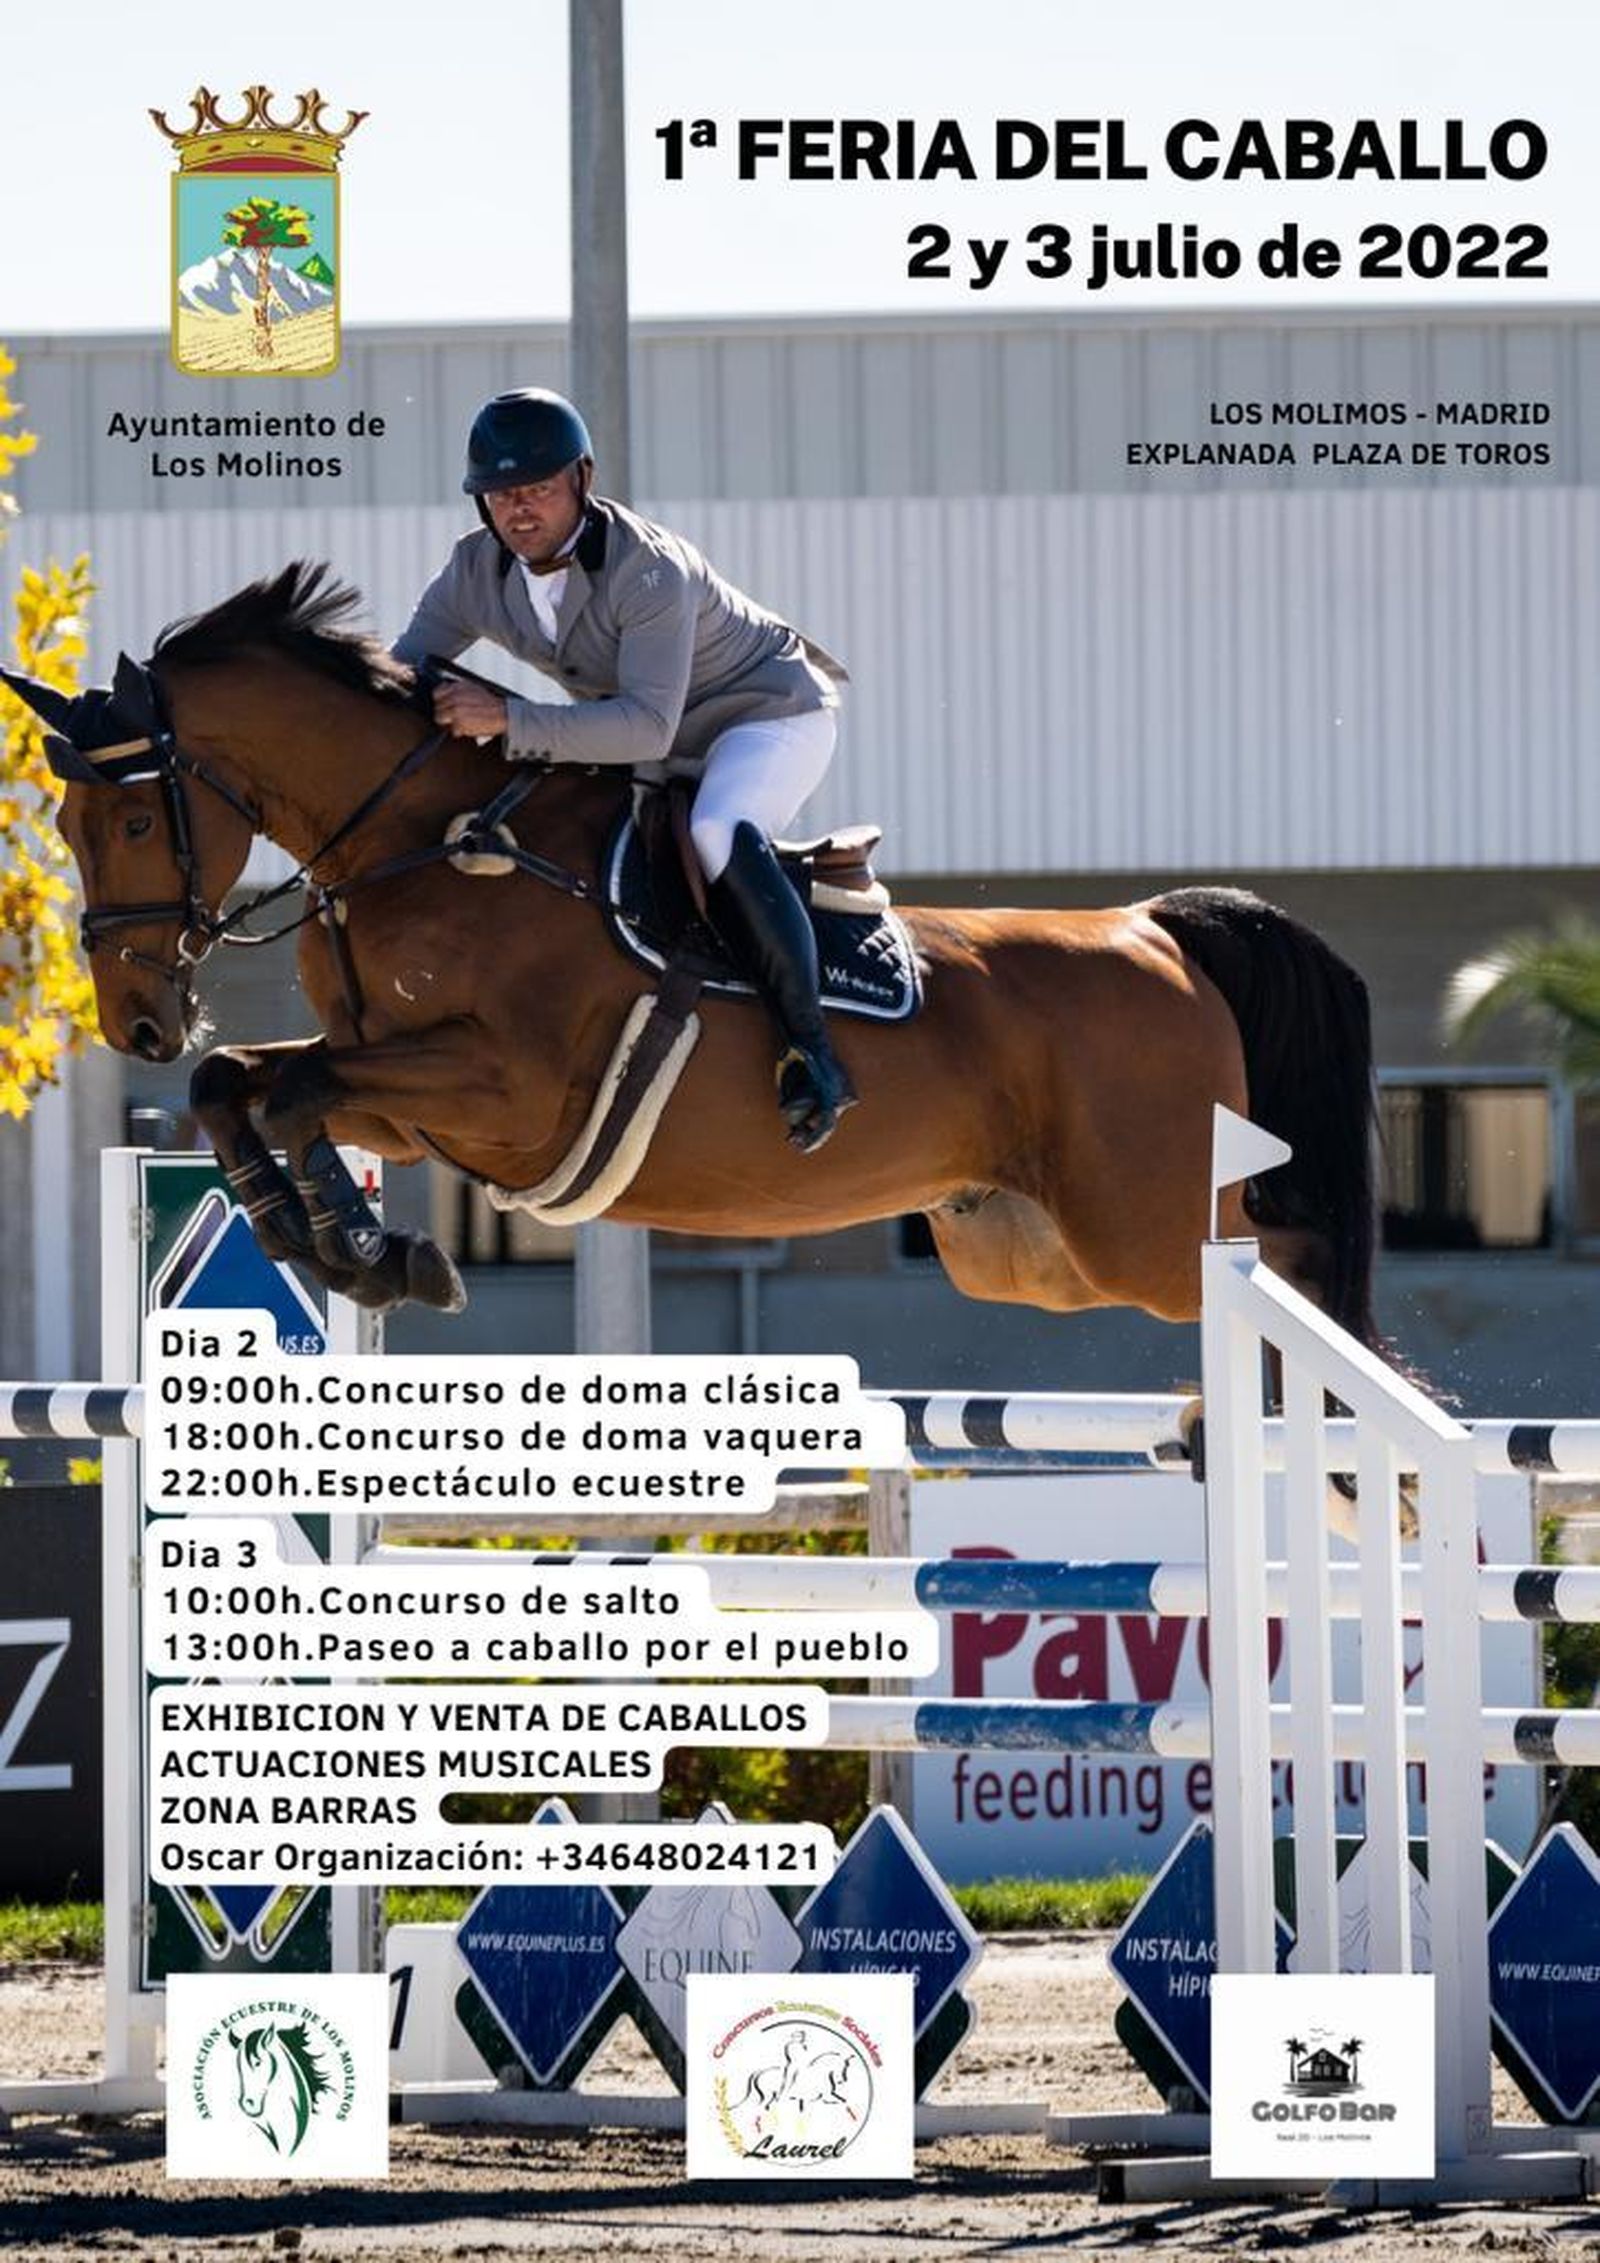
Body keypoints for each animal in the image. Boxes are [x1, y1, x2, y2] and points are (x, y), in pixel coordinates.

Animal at [0, 561, 1380, 1350]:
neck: (425, 841)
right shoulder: (404, 1094)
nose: (134, 1020)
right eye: (63, 827)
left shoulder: (501, 1092)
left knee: (1286, 1277)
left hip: (1145, 1230)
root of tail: (1151, 929)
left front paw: (363, 1250)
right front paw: (336, 1242)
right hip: (1028, 1256)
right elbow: (240, 1084)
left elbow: (287, 1088)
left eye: (136, 821)